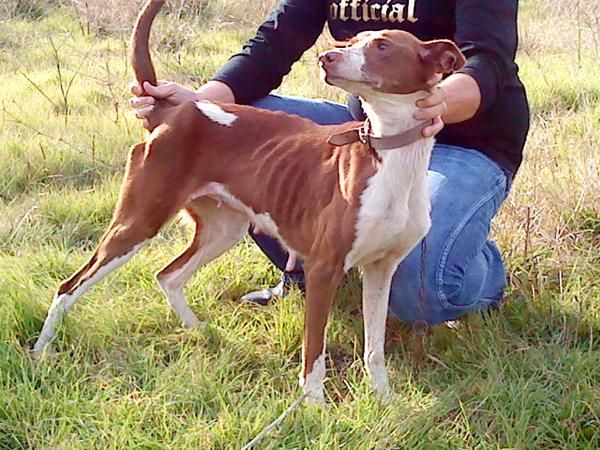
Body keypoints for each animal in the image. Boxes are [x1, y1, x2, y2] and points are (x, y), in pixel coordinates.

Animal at [31, 0, 464, 400]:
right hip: (138, 221)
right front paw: (314, 407)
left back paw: (200, 332)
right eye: (350, 41)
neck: (390, 155)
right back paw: (40, 352)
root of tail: (173, 109)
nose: (327, 57)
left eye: (383, 46)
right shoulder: (324, 268)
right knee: (68, 287)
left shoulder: (381, 269)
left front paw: (383, 398)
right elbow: (314, 353)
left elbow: (374, 349)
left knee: (168, 276)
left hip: (224, 229)